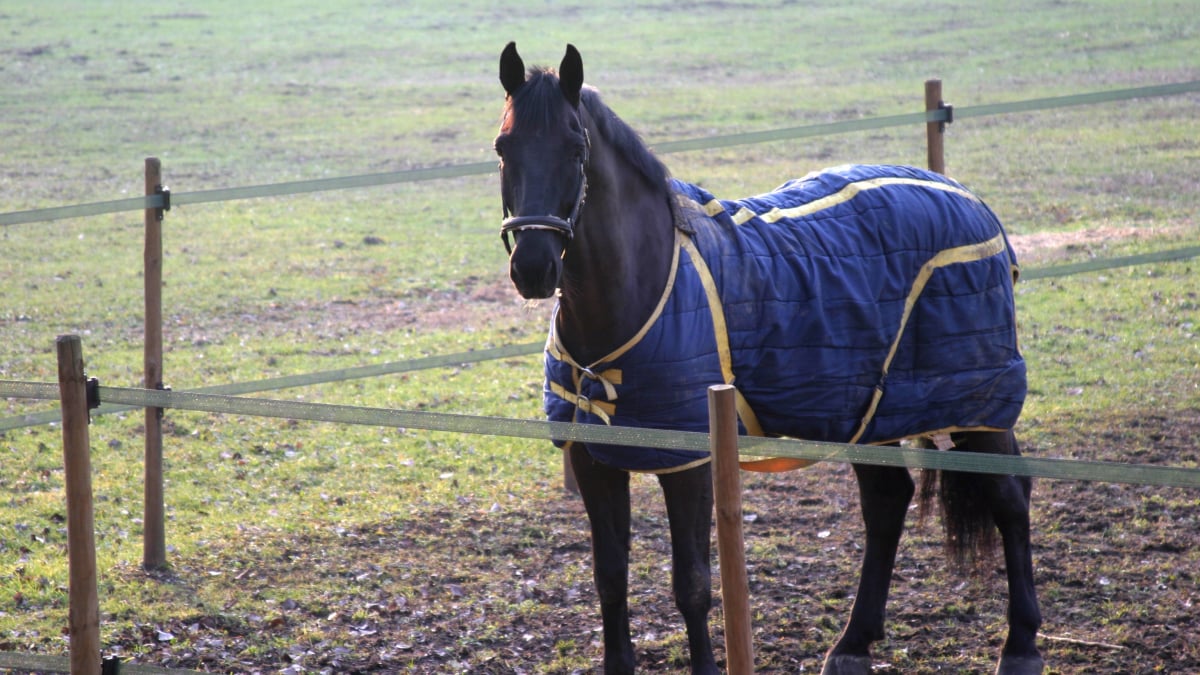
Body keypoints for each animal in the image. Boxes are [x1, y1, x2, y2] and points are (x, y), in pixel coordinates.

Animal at [494, 43, 1041, 672]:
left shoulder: (690, 459)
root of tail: (972, 201)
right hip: (871, 411)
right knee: (888, 503)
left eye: (575, 148)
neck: (645, 287)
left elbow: (693, 584)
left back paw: (1020, 644)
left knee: (1010, 499)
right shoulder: (592, 459)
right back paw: (852, 645)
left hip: (977, 407)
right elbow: (610, 577)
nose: (534, 267)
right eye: (503, 148)